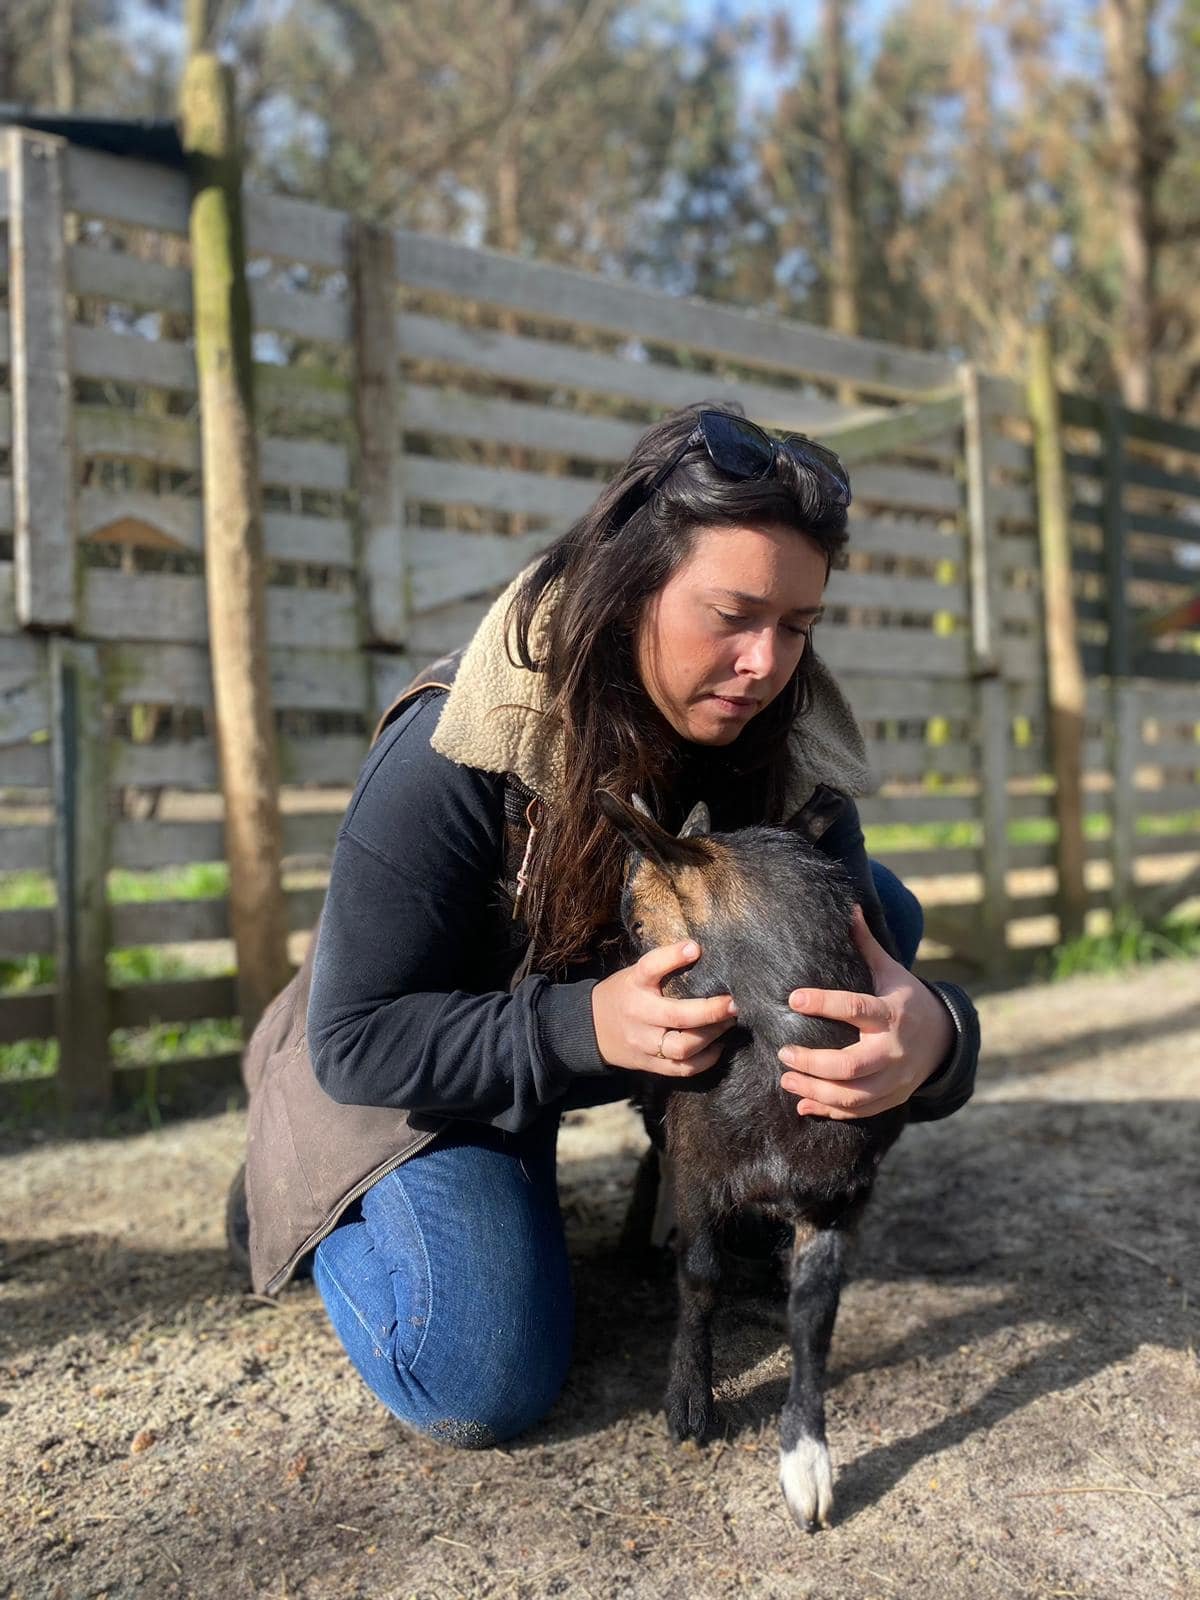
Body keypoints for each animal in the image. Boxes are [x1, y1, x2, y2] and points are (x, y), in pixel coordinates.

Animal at [601, 793, 908, 1529]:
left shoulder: (837, 1199)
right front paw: (690, 1403)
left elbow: (815, 1313)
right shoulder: (698, 1168)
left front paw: (807, 1462)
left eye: (636, 921)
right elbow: (700, 1275)